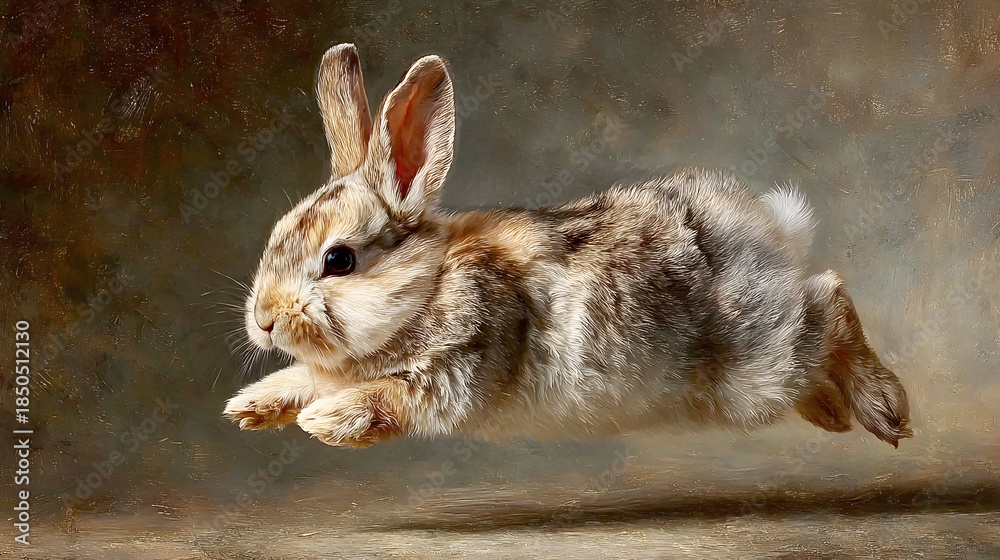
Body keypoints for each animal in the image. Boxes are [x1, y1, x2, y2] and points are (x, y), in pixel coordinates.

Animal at [223, 44, 912, 449]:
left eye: (338, 260)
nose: (264, 320)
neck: (427, 288)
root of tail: (766, 224)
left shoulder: (461, 362)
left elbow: (392, 399)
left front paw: (324, 422)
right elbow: (307, 377)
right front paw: (251, 408)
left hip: (756, 367)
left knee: (827, 298)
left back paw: (886, 409)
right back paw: (833, 412)